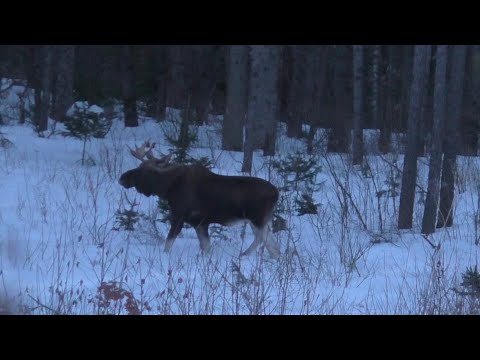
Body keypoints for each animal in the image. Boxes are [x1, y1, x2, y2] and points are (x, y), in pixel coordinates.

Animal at [117, 139, 280, 258]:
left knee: (264, 240)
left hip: (257, 218)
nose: (122, 178)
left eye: (142, 170)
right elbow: (206, 248)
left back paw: (244, 255)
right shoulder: (199, 223)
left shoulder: (179, 216)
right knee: (271, 244)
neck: (169, 189)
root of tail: (276, 193)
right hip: (258, 220)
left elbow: (168, 243)